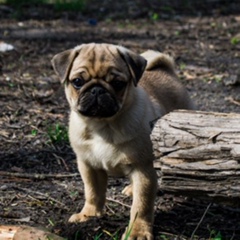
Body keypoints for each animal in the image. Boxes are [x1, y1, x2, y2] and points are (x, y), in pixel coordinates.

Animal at [51, 43, 194, 240]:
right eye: (77, 82)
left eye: (118, 84)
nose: (97, 89)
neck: (102, 126)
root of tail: (166, 69)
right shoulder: (89, 166)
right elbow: (92, 192)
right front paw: (89, 215)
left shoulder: (143, 169)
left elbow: (141, 205)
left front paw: (138, 231)